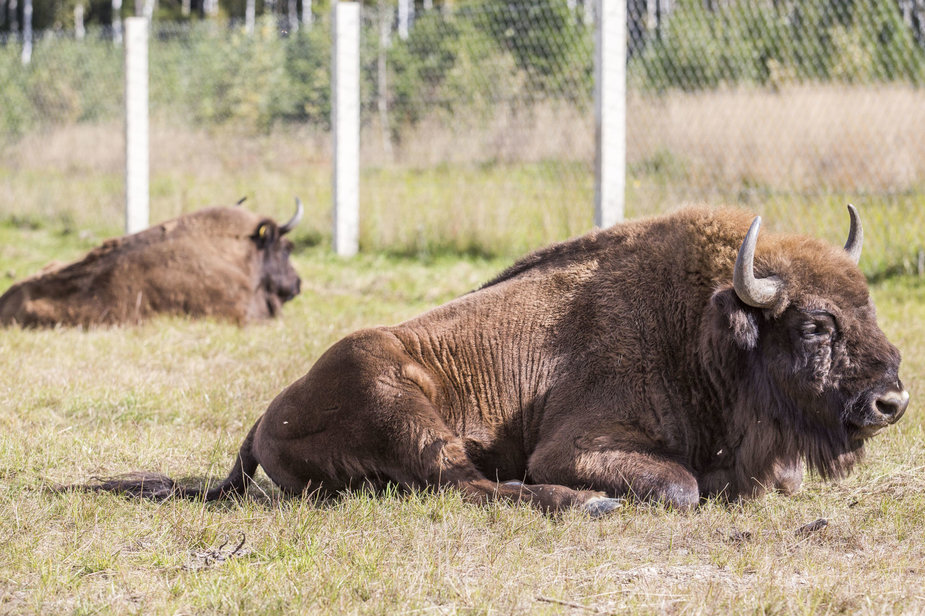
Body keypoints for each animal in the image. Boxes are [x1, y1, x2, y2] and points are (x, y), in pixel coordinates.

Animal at [83, 206, 904, 516]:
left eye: (868, 305)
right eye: (815, 325)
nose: (889, 401)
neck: (699, 326)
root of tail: (261, 420)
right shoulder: (576, 444)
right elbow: (679, 486)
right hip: (397, 401)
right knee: (470, 485)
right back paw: (587, 505)